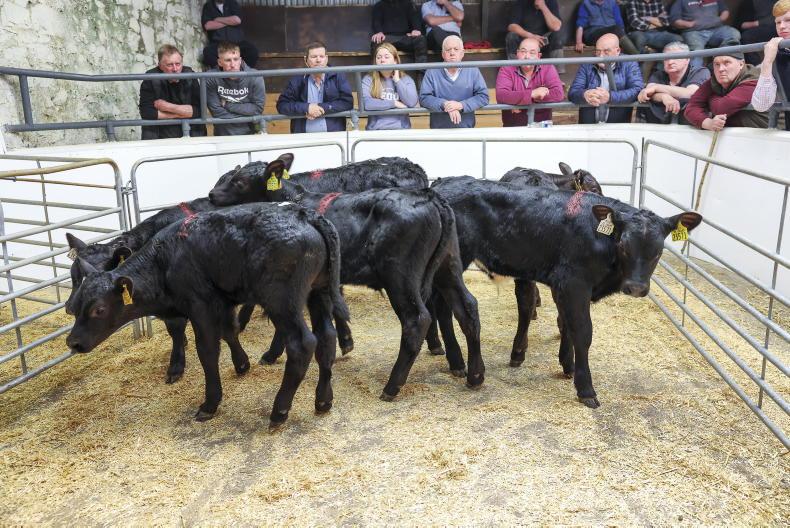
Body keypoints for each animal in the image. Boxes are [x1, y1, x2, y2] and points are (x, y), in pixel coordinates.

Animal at [429, 176, 702, 408]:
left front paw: (568, 365)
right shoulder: (574, 283)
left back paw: (454, 361)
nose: (635, 287)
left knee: (441, 307)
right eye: (624, 245)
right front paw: (586, 388)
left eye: (658, 251)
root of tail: (440, 184)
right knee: (460, 308)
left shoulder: (565, 287)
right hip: (454, 262)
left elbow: (567, 325)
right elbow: (582, 332)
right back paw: (473, 373)